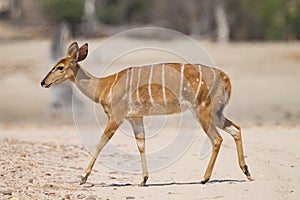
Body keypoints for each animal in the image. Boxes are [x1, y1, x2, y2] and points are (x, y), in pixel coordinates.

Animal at [40, 42, 253, 186]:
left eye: (60, 67)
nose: (43, 82)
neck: (104, 87)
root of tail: (225, 77)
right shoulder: (135, 117)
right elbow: (141, 145)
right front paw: (143, 180)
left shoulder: (116, 116)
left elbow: (101, 142)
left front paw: (83, 177)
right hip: (216, 112)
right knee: (236, 129)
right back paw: (247, 172)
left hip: (203, 109)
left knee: (217, 138)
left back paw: (204, 178)